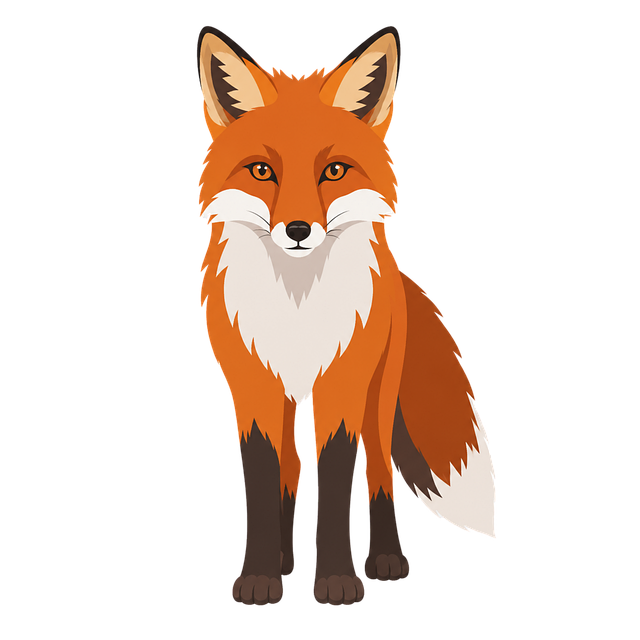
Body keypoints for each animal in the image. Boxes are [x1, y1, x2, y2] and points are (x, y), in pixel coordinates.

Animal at [197, 26, 498, 605]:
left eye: (333, 171)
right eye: (262, 171)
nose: (297, 230)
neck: (297, 308)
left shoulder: (344, 386)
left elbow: (336, 482)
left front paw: (338, 581)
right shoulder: (255, 388)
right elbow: (266, 482)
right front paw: (260, 578)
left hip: (379, 402)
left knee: (379, 473)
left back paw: (385, 561)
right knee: (289, 476)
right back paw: (287, 563)